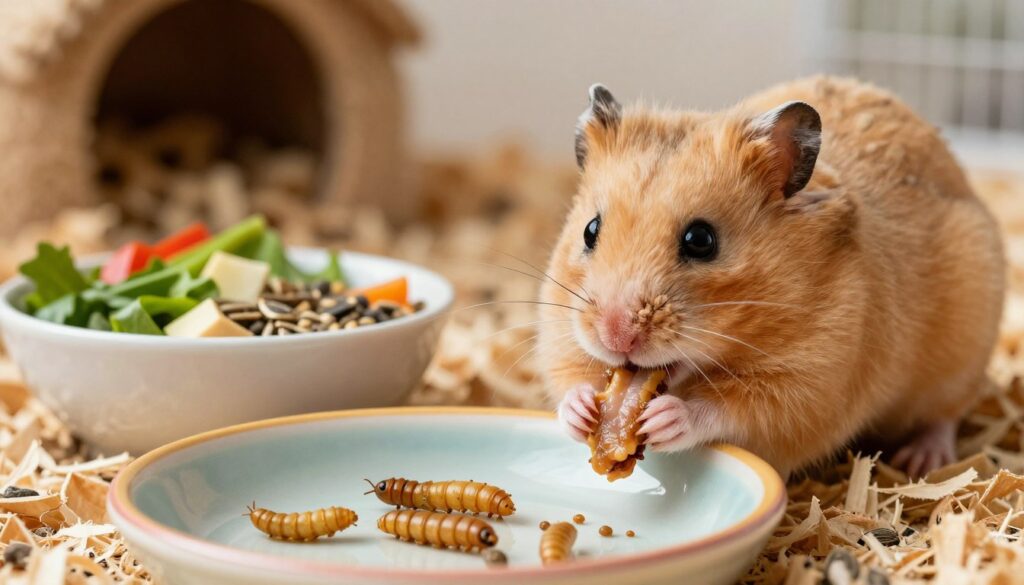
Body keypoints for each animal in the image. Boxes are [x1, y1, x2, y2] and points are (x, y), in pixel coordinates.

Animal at [539, 77, 1005, 478]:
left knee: (944, 416)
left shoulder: (809, 386)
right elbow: (569, 376)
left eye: (700, 240)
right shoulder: (561, 330)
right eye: (590, 230)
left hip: (963, 352)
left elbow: (730, 410)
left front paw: (665, 418)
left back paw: (922, 460)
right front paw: (582, 411)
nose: (614, 336)